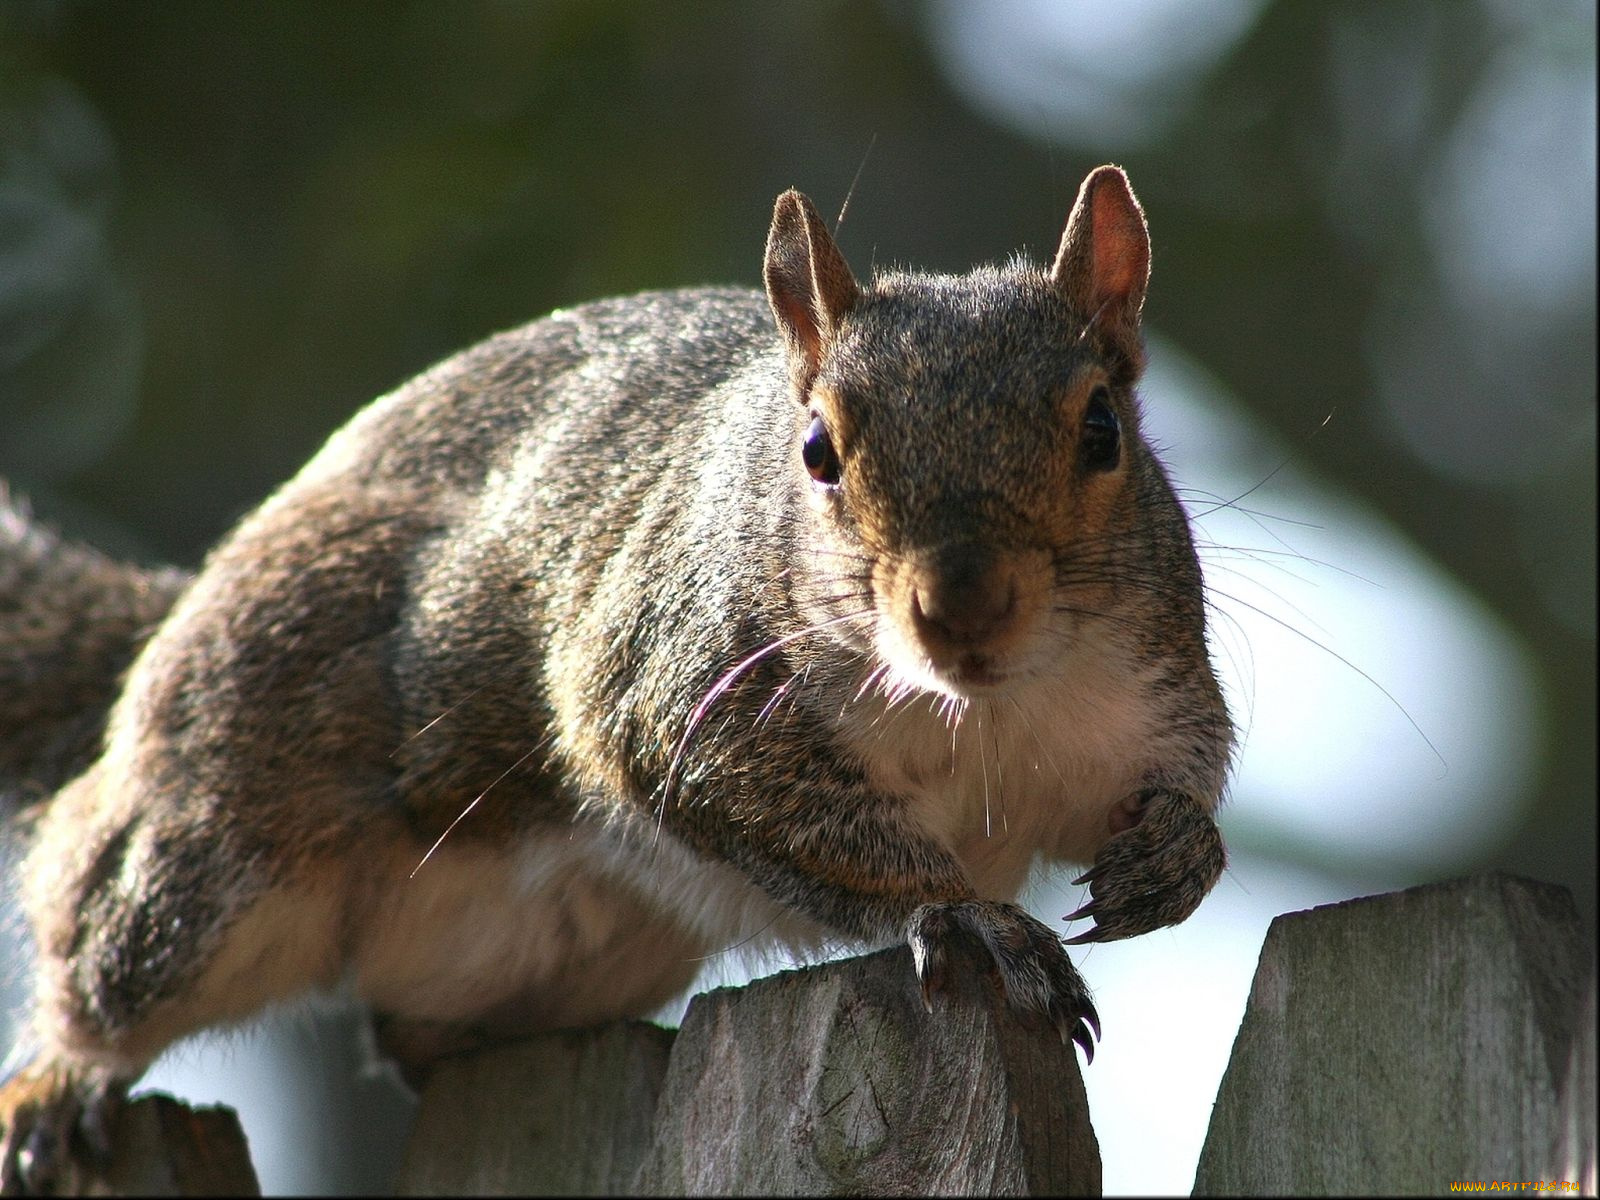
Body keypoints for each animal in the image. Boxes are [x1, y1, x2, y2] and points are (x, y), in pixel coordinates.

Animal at [0, 164, 1228, 1190]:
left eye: (1103, 430)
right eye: (817, 451)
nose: (962, 611)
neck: (982, 712)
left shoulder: (1142, 699)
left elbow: (1170, 788)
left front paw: (1179, 853)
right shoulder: (675, 681)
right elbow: (789, 818)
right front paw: (963, 915)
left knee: (410, 1030)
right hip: (216, 821)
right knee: (100, 937)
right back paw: (56, 1081)